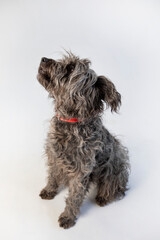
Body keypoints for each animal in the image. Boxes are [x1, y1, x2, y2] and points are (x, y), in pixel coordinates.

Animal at [37, 52, 130, 229]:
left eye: (70, 68)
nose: (43, 59)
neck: (71, 122)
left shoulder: (81, 171)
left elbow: (74, 196)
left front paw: (68, 216)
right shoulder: (54, 157)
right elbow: (52, 177)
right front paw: (49, 190)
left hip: (114, 170)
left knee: (115, 188)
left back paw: (104, 197)